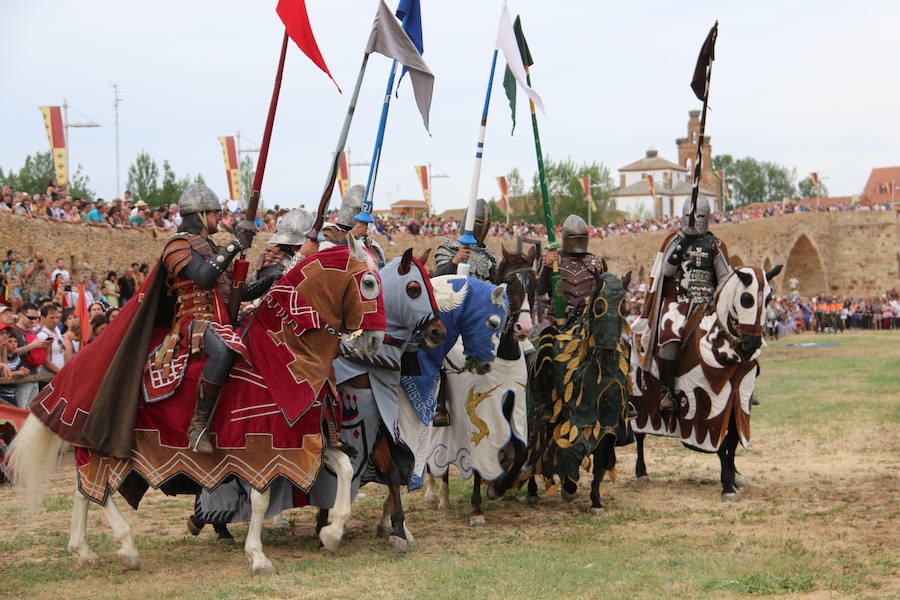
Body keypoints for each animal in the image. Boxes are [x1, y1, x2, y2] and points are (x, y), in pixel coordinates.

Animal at [8, 233, 386, 572]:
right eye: (368, 283)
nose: (375, 340)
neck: (283, 353)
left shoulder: (307, 439)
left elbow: (345, 468)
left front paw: (332, 532)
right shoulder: (264, 447)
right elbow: (261, 499)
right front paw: (258, 556)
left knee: (85, 490)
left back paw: (84, 551)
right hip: (101, 446)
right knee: (95, 488)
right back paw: (126, 547)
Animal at [422, 244, 536, 524]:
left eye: (535, 284)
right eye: (510, 283)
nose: (523, 327)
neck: (503, 353)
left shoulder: (513, 406)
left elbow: (520, 449)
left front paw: (499, 487)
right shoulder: (477, 414)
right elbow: (476, 458)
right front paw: (476, 507)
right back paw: (434, 494)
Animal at [520, 272, 632, 516]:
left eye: (623, 307)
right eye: (599, 305)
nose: (607, 348)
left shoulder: (609, 426)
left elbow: (601, 462)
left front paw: (596, 502)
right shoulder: (571, 422)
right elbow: (572, 451)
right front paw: (568, 489)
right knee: (533, 450)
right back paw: (532, 492)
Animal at [628, 266, 784, 502]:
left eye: (769, 299)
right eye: (746, 299)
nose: (752, 344)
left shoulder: (739, 400)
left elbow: (732, 440)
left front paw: (734, 476)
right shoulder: (710, 405)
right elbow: (719, 444)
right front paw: (727, 486)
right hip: (640, 401)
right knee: (639, 433)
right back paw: (641, 471)